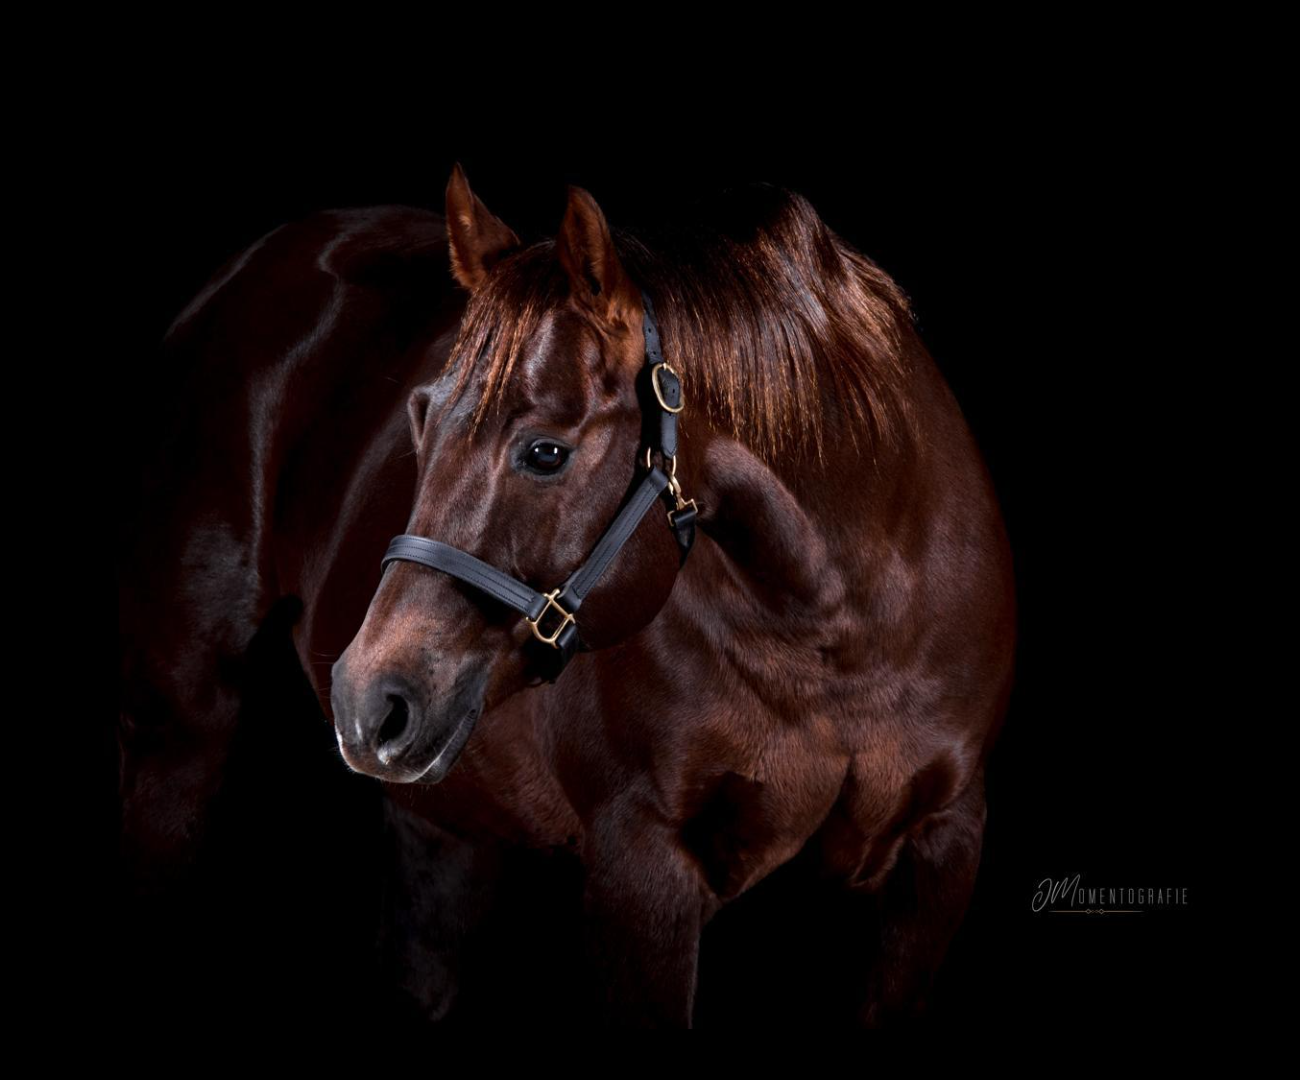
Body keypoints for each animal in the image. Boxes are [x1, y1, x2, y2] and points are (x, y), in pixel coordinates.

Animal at [326, 164, 1017, 1027]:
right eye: (419, 417)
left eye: (546, 453)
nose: (364, 701)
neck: (845, 632)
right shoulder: (640, 870)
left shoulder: (944, 846)